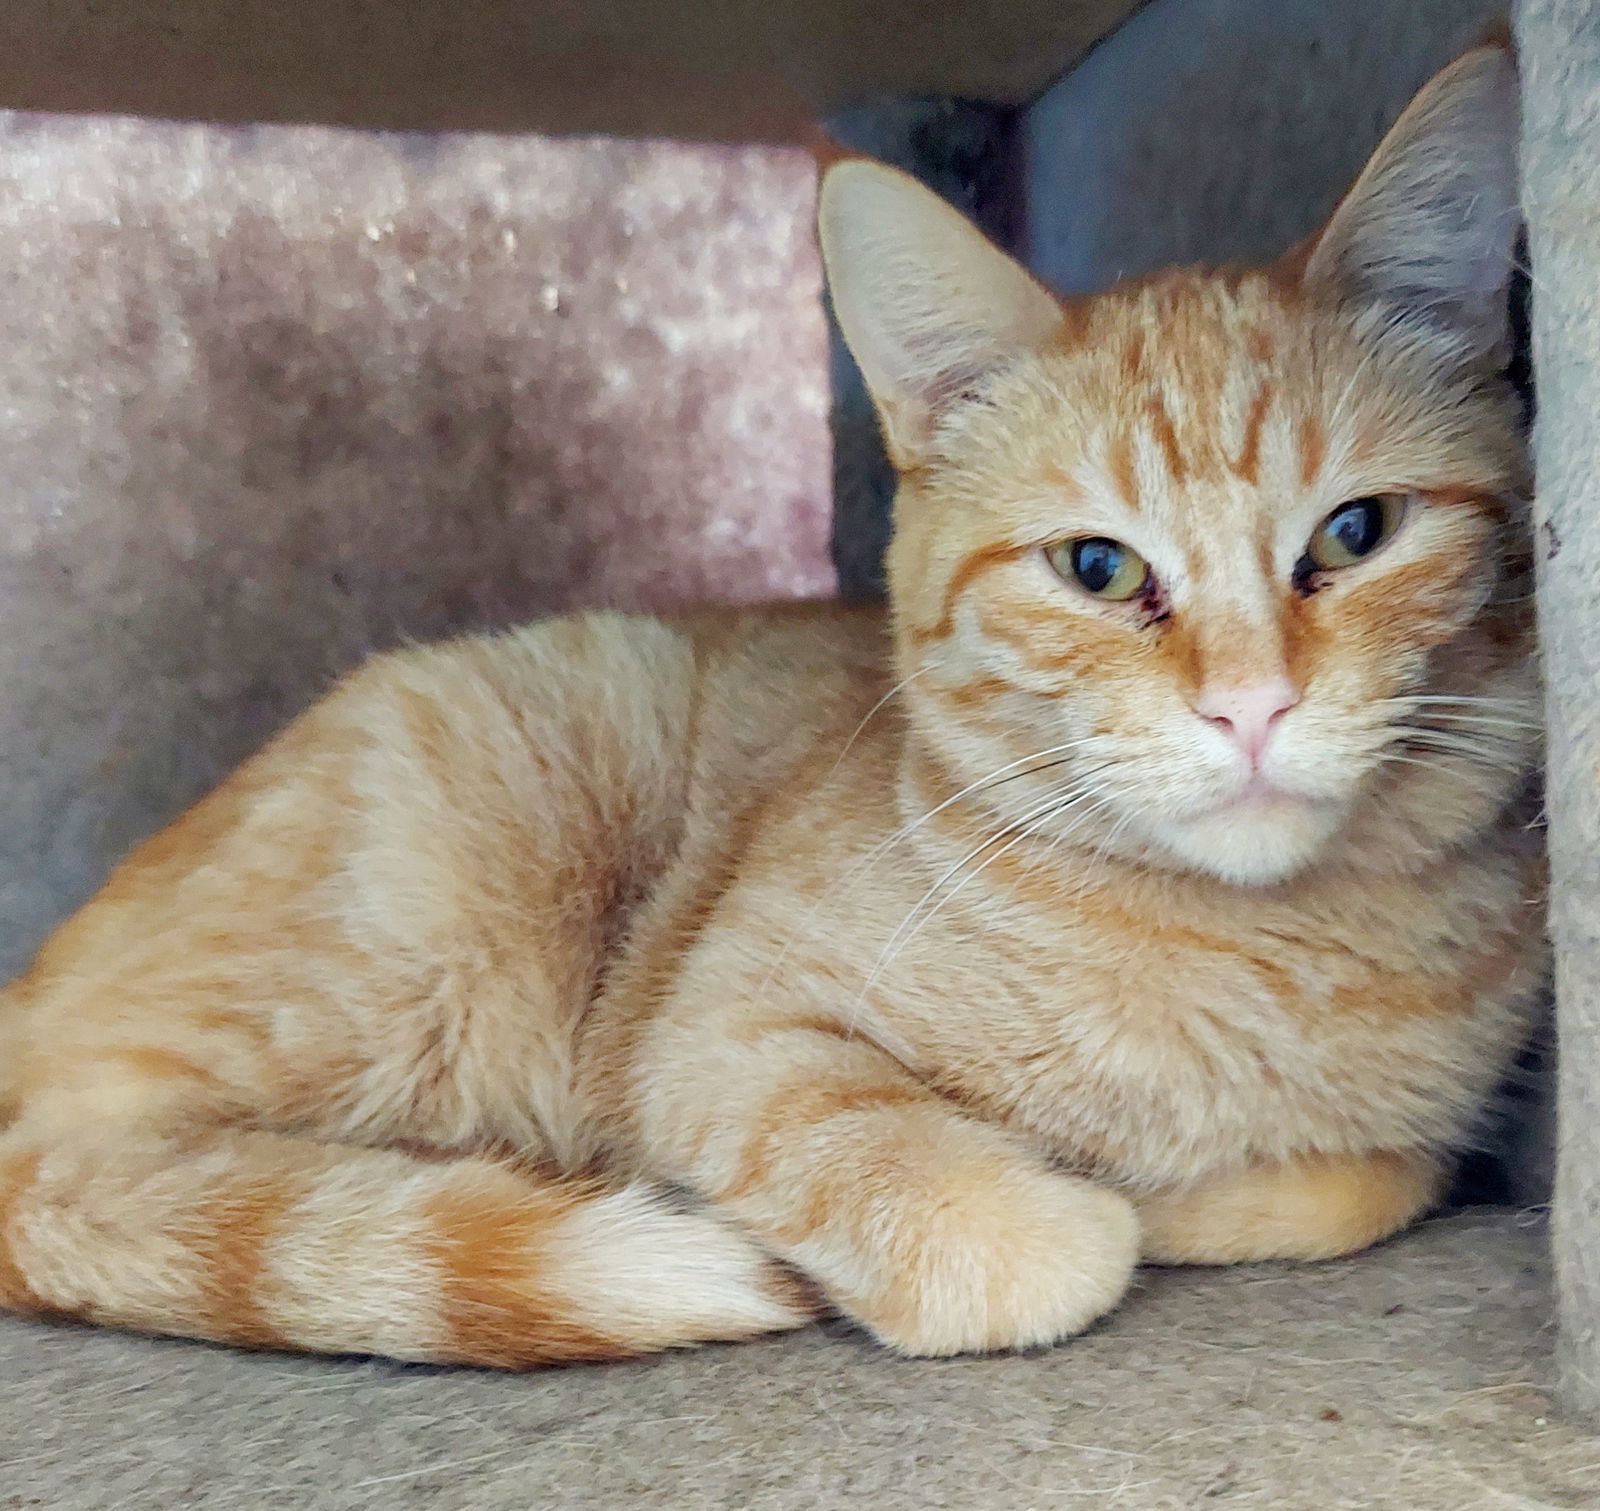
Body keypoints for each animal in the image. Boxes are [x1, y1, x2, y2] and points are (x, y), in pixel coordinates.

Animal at [3, 47, 1548, 1370]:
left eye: (1355, 533)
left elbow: (1358, 1182)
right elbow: (976, 1212)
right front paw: (1072, 1204)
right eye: (1098, 568)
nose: (1252, 706)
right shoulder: (717, 1038)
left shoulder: (1412, 1140)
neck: (1257, 954)